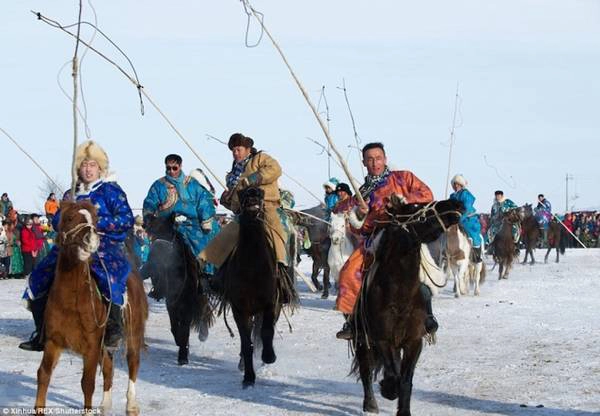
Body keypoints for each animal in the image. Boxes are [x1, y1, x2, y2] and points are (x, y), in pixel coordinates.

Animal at [34, 201, 148, 412]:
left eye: (95, 219)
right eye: (69, 217)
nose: (91, 239)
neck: (72, 301)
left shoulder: (92, 347)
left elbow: (87, 383)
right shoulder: (53, 342)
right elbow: (43, 375)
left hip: (133, 334)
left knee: (133, 363)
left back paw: (131, 404)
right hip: (107, 345)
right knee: (109, 369)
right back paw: (105, 404)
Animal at [141, 214, 213, 364]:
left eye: (169, 235)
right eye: (152, 234)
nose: (154, 257)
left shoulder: (187, 304)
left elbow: (185, 328)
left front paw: (183, 356)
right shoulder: (171, 303)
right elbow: (174, 326)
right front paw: (180, 343)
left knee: (204, 310)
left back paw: (203, 334)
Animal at [219, 187, 296, 388]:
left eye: (261, 193)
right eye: (242, 192)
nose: (253, 193)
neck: (252, 266)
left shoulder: (270, 304)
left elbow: (267, 332)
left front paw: (269, 357)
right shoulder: (240, 309)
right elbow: (246, 343)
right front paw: (248, 377)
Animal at [350, 197, 462, 416]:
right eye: (416, 208)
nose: (455, 203)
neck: (400, 296)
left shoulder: (414, 341)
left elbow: (405, 379)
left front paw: (403, 410)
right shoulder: (382, 339)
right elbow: (393, 374)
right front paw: (387, 389)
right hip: (362, 338)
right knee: (366, 368)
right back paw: (370, 404)